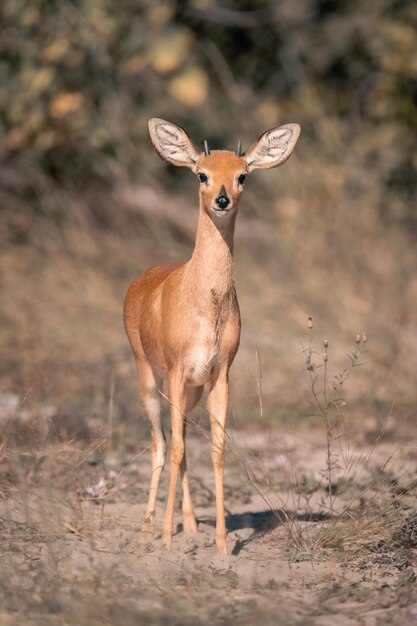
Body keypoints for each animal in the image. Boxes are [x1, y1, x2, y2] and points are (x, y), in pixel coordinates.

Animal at [123, 117, 300, 552]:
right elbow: (174, 449)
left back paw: (189, 524)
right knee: (161, 445)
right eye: (201, 173)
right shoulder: (175, 371)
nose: (222, 200)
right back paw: (150, 528)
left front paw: (221, 544)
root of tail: (141, 279)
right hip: (148, 378)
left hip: (191, 391)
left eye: (242, 175)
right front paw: (166, 540)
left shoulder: (219, 375)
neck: (205, 303)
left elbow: (216, 451)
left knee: (182, 443)